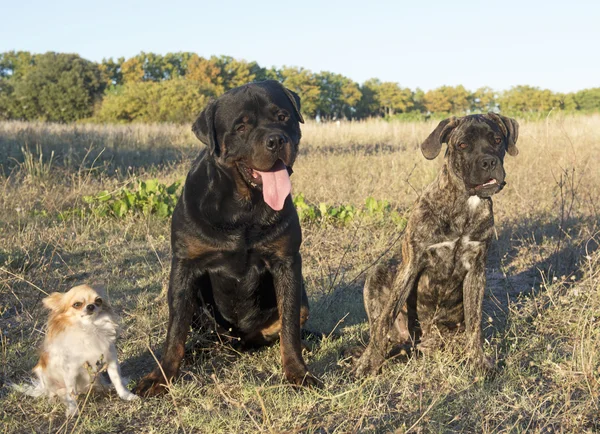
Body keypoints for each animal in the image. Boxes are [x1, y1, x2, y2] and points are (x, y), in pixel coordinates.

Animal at [14, 284, 138, 414]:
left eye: (98, 301)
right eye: (77, 304)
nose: (91, 306)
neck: (89, 329)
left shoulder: (111, 360)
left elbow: (117, 380)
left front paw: (126, 395)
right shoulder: (70, 371)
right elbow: (71, 393)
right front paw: (73, 411)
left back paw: (107, 386)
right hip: (45, 376)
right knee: (57, 392)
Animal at [137, 79, 322, 396]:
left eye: (282, 116)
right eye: (241, 127)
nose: (275, 140)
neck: (244, 208)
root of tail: (240, 342)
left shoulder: (286, 262)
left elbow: (289, 328)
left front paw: (298, 372)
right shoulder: (185, 266)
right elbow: (175, 331)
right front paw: (160, 376)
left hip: (302, 301)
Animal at [354, 112, 516, 376]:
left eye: (497, 140)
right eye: (463, 145)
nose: (489, 162)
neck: (465, 203)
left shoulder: (476, 271)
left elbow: (475, 323)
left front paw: (478, 361)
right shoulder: (412, 265)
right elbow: (385, 318)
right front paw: (368, 364)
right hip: (379, 274)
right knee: (380, 326)